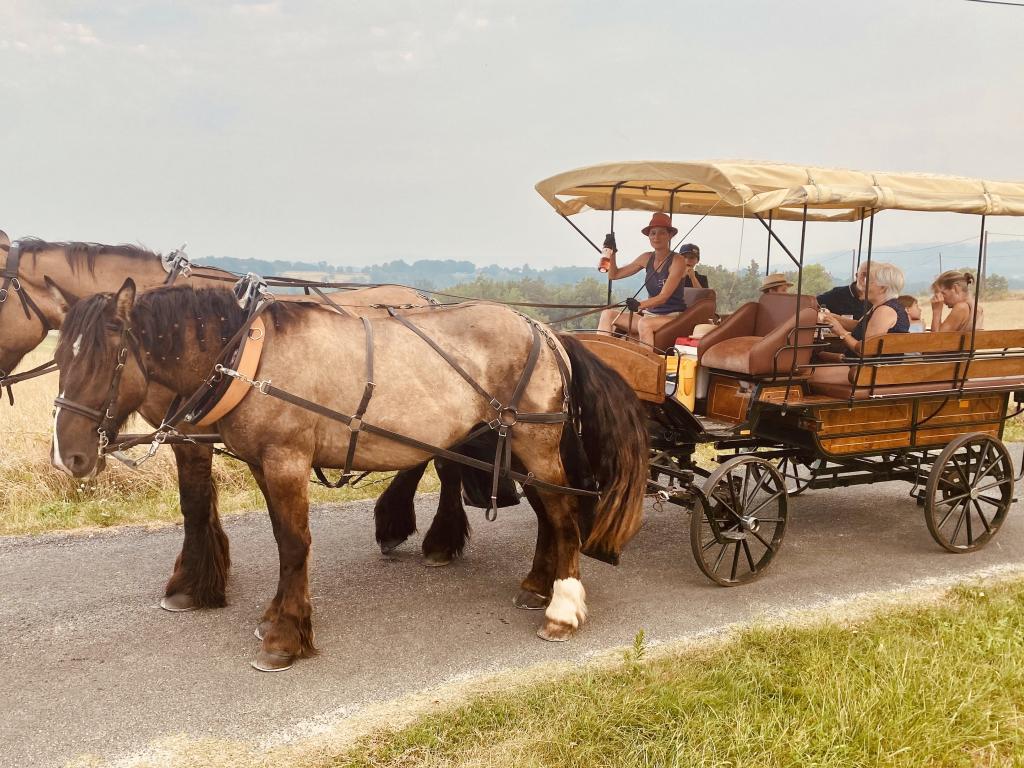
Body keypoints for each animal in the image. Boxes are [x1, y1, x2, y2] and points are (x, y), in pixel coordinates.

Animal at [49, 282, 647, 671]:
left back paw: (562, 608)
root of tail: (544, 330)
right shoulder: (265, 465)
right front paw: (274, 617)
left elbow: (294, 543)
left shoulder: (286, 459)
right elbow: (281, 539)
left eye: (106, 360)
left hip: (534, 440)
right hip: (513, 444)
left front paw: (285, 638)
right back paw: (536, 585)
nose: (67, 457)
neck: (252, 358)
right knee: (549, 511)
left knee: (564, 514)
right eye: (60, 358)